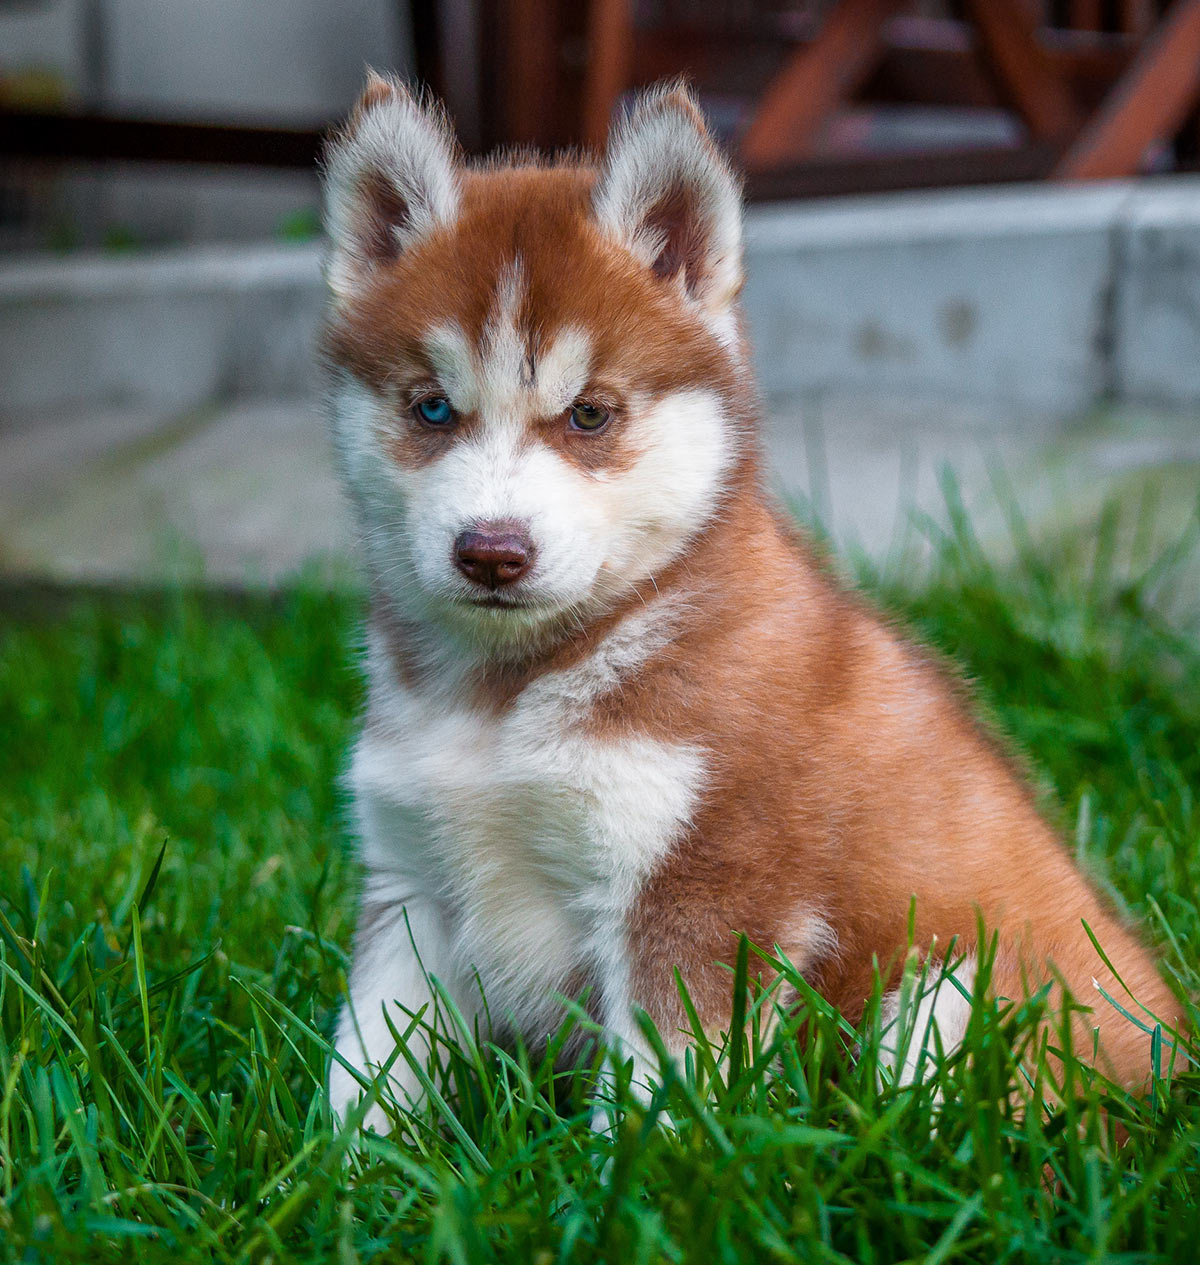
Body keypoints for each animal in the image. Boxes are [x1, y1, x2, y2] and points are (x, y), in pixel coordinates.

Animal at [323, 76, 1183, 1128]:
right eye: (432, 408)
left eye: (590, 414)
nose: (492, 552)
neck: (508, 694)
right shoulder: (408, 880)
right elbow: (362, 1071)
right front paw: (338, 1168)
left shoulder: (700, 893)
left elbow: (654, 1097)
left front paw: (631, 1173)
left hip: (961, 988)